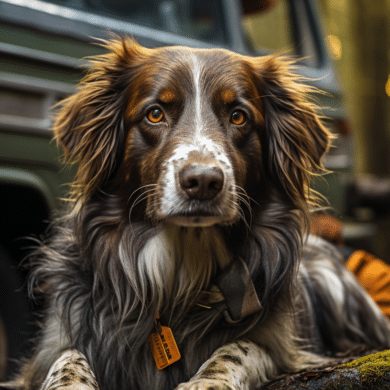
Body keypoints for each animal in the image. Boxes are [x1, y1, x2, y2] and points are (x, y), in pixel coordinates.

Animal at [10, 38, 390, 390]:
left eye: (238, 116)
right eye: (155, 113)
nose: (204, 182)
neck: (182, 267)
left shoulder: (282, 347)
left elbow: (239, 348)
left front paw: (207, 380)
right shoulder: (58, 339)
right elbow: (67, 358)